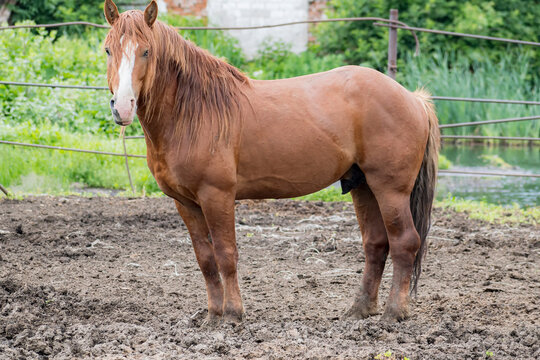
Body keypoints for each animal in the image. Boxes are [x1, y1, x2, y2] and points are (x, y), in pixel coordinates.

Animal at [103, 0, 440, 324]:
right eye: (108, 49)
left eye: (146, 50)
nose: (122, 107)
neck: (194, 112)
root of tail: (412, 98)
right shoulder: (185, 203)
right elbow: (205, 259)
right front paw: (212, 316)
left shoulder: (217, 196)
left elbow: (226, 254)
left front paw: (232, 315)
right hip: (363, 186)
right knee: (376, 245)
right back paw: (359, 310)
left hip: (390, 190)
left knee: (404, 243)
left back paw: (394, 313)